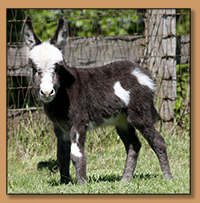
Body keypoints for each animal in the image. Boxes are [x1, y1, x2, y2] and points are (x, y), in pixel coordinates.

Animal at [23, 16, 173, 184]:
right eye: (34, 69)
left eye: (57, 68)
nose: (47, 92)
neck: (63, 93)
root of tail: (142, 72)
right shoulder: (59, 127)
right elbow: (62, 156)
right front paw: (64, 183)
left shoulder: (78, 122)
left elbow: (77, 155)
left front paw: (82, 184)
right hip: (122, 120)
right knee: (133, 145)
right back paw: (125, 180)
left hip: (139, 114)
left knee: (158, 141)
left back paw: (168, 177)